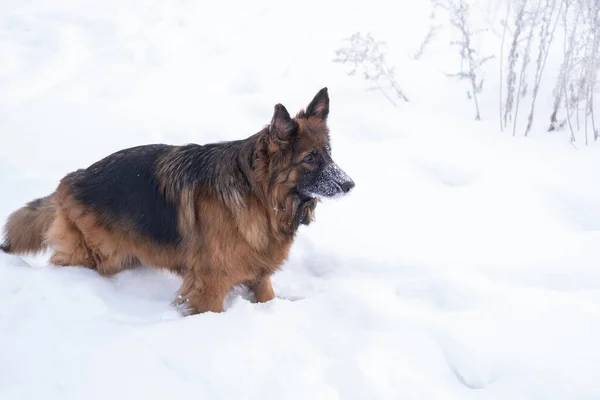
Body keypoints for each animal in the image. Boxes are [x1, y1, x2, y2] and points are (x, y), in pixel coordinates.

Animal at [0, 88, 354, 316]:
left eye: (329, 154)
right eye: (311, 158)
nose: (350, 185)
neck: (259, 196)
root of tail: (69, 181)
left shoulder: (258, 274)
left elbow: (267, 297)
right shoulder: (210, 286)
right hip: (97, 254)